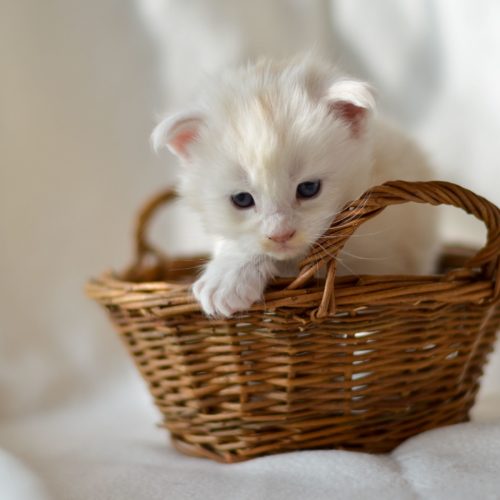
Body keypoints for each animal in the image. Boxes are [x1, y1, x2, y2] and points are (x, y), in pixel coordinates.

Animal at [152, 54, 438, 316]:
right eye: (242, 200)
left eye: (309, 189)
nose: (281, 235)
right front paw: (230, 272)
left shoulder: (378, 251)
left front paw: (229, 279)